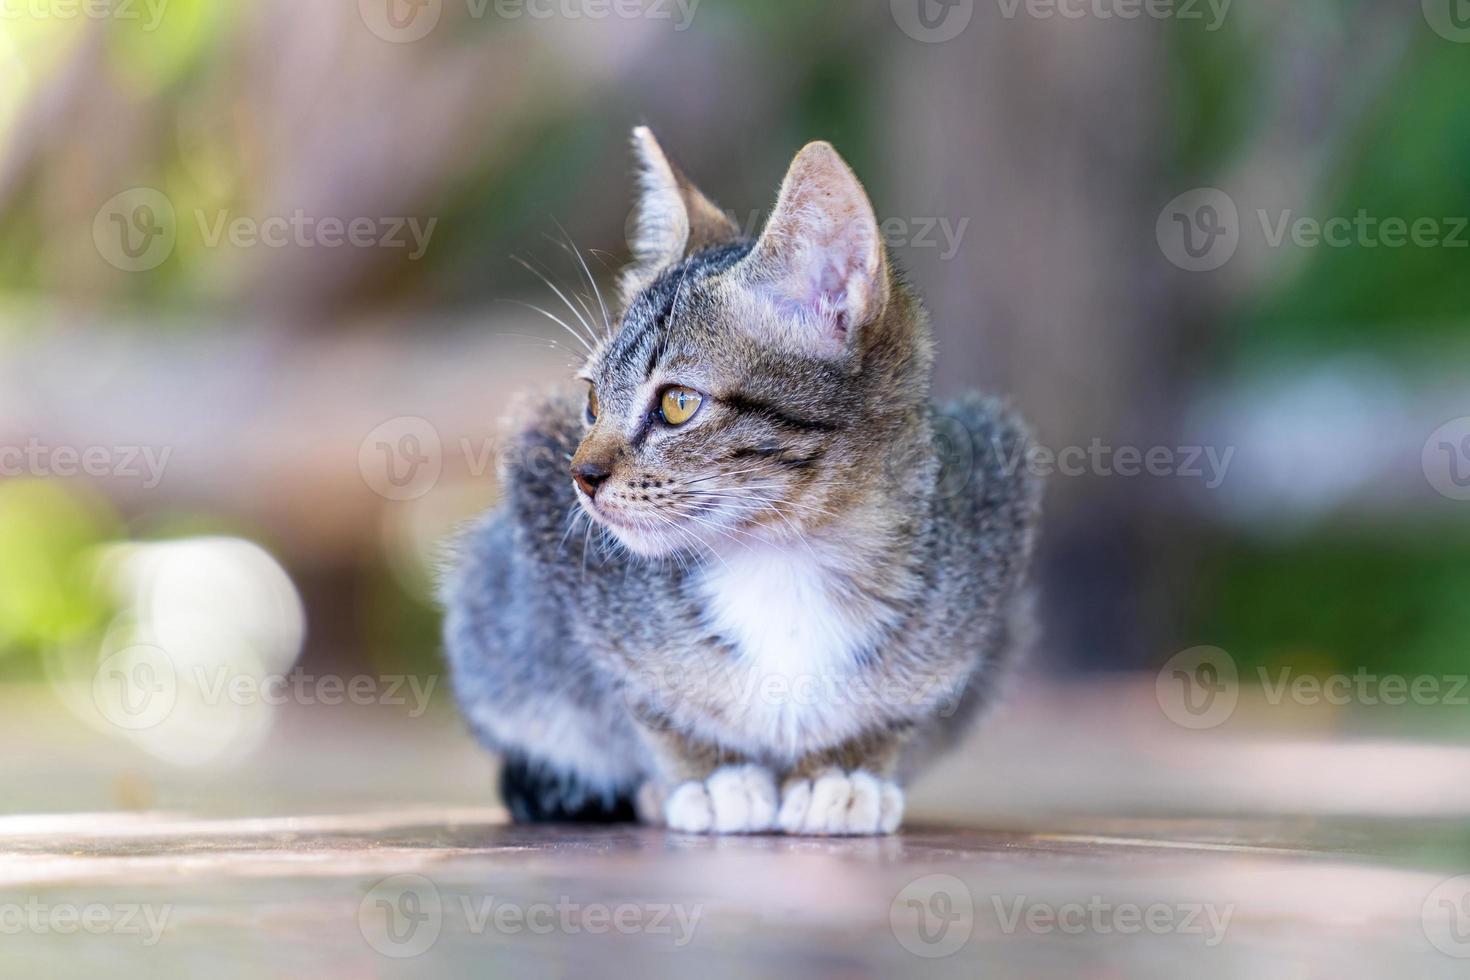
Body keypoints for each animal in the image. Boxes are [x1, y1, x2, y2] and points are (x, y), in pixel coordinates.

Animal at [441, 128, 1040, 834]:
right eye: (590, 401)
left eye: (677, 404)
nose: (581, 475)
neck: (786, 558)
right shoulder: (542, 494)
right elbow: (636, 691)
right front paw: (707, 771)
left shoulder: (993, 496)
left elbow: (909, 699)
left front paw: (847, 767)